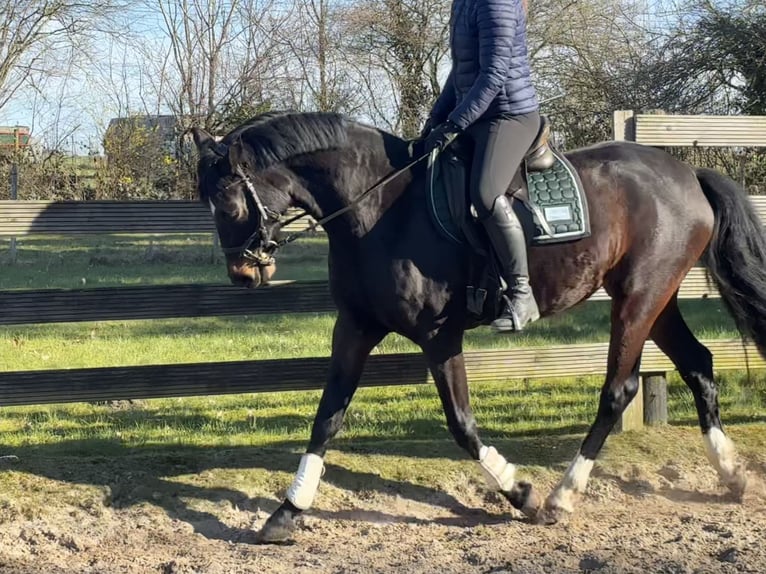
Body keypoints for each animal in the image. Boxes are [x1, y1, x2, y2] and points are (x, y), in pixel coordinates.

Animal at [190, 110, 765, 543]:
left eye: (228, 204)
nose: (243, 273)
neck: (379, 209)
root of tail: (687, 173)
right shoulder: (355, 327)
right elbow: (326, 418)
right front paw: (286, 513)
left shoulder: (438, 337)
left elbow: (461, 425)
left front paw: (521, 493)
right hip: (656, 299)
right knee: (698, 365)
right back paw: (733, 476)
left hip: (639, 299)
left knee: (619, 390)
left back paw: (561, 496)